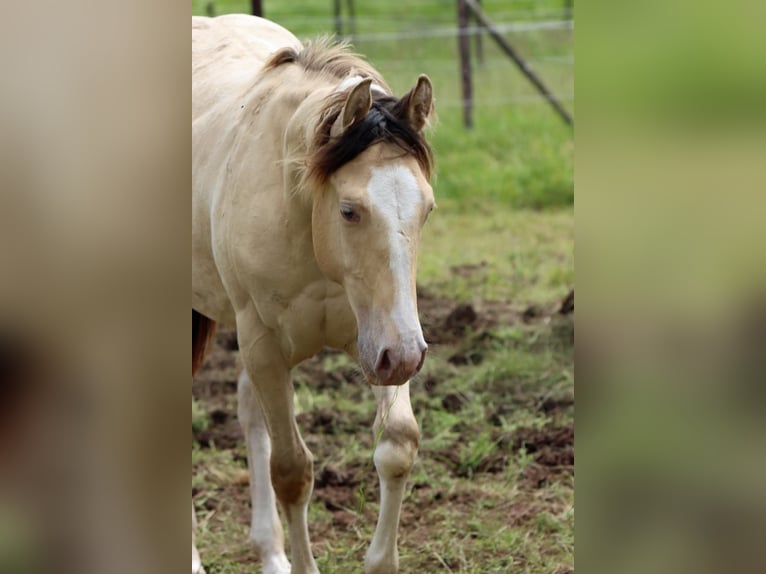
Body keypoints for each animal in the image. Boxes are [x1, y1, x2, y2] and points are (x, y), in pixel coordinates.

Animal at [192, 13, 438, 574]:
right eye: (350, 210)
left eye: (428, 208)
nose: (407, 355)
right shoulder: (263, 345)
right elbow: (291, 472)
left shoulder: (376, 334)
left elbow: (398, 443)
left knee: (247, 410)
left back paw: (271, 552)